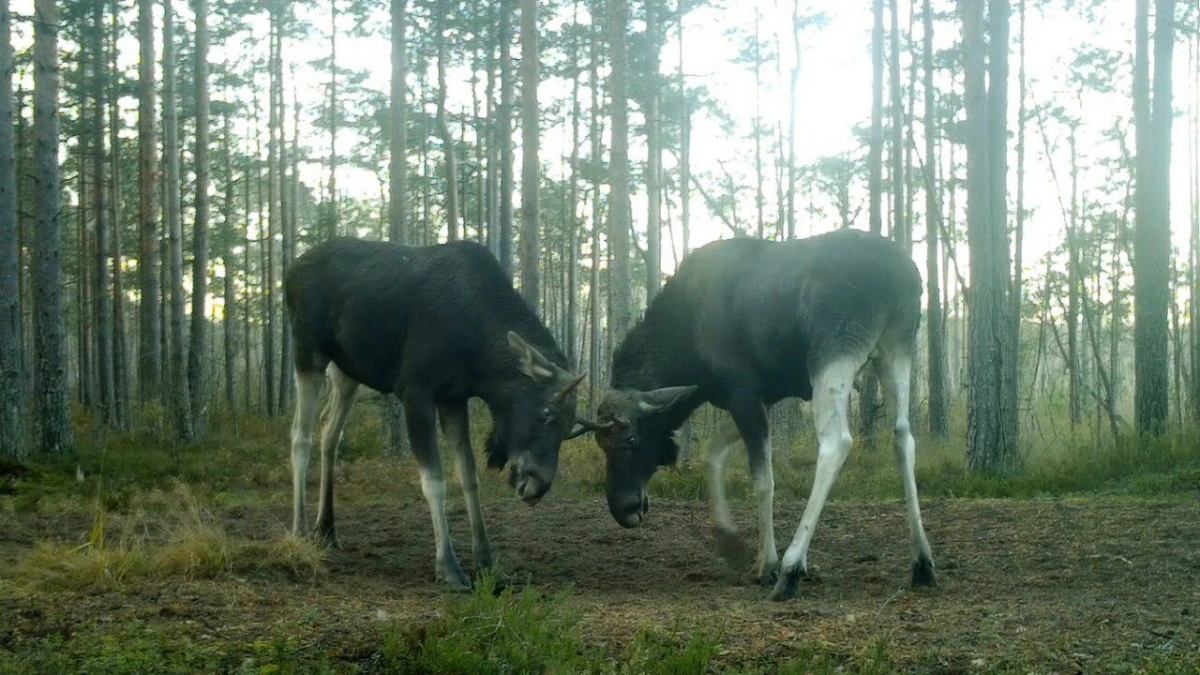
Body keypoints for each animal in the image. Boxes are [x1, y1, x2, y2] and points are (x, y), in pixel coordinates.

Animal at [280, 237, 580, 588]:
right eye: (546, 413)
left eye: (569, 429)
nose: (539, 485)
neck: (478, 356)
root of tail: (291, 270)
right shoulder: (415, 392)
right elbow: (434, 481)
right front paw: (448, 565)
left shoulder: (453, 399)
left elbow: (469, 477)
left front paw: (487, 560)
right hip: (308, 352)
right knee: (300, 436)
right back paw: (300, 530)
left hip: (347, 371)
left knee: (330, 431)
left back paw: (326, 528)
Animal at [576, 229, 940, 598]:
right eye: (601, 445)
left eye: (631, 440)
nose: (624, 509)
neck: (687, 350)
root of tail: (903, 276)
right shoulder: (759, 397)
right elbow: (713, 454)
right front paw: (731, 542)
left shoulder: (743, 391)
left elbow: (762, 479)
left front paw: (768, 563)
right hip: (896, 349)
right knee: (903, 436)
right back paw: (922, 561)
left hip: (832, 353)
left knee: (836, 442)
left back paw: (792, 567)